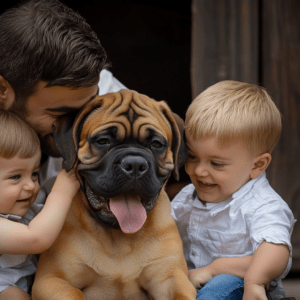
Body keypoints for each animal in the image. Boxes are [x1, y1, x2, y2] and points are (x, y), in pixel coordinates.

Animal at [32, 90, 197, 298]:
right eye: (103, 141)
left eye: (156, 144)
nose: (135, 164)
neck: (118, 237)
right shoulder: (51, 279)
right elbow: (74, 294)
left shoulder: (170, 277)